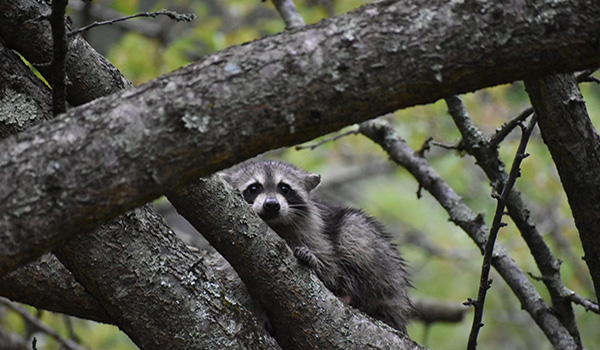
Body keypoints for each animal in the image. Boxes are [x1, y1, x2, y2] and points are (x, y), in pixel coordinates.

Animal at [220, 160, 412, 332]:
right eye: (254, 188)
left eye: (284, 188)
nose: (272, 205)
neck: (275, 225)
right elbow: (237, 282)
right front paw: (259, 312)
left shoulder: (317, 233)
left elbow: (331, 266)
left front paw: (315, 262)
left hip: (384, 271)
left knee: (355, 232)